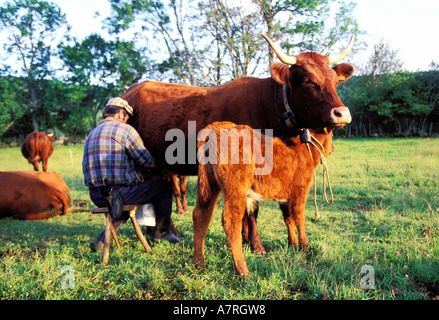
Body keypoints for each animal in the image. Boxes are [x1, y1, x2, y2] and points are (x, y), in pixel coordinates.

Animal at [194, 121, 336, 276]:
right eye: (333, 135)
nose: (333, 149)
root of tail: (216, 126)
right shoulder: (300, 192)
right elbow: (300, 219)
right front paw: (305, 248)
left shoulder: (285, 197)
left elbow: (288, 219)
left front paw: (292, 244)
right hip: (235, 189)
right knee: (231, 222)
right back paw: (243, 271)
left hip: (209, 185)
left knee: (201, 214)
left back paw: (200, 265)